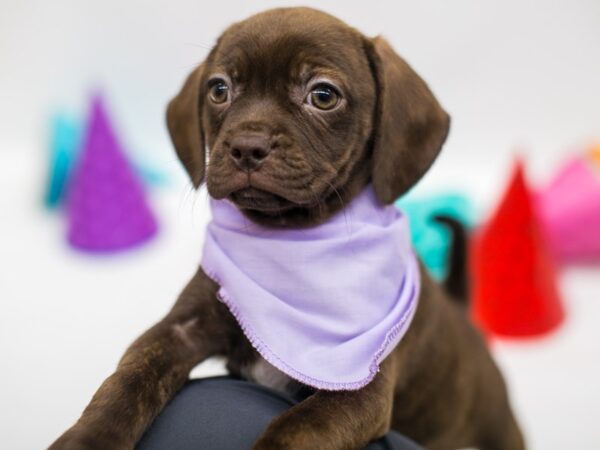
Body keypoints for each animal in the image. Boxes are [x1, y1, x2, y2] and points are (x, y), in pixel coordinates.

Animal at [48, 7, 524, 450]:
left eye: (323, 95)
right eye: (219, 89)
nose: (246, 147)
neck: (289, 235)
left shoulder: (358, 390)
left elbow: (294, 430)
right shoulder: (178, 330)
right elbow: (124, 383)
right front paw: (86, 437)